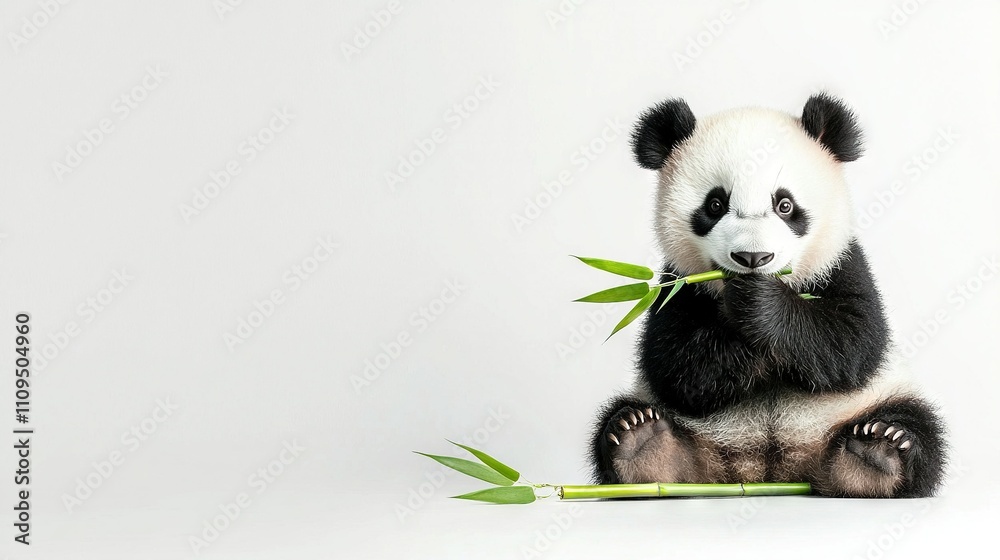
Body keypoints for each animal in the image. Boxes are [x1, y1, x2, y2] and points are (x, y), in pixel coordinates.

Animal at [590, 94, 945, 498]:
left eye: (785, 205)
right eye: (715, 205)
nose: (752, 258)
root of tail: (772, 468)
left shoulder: (842, 262)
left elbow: (853, 342)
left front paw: (761, 306)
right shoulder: (676, 283)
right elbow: (676, 364)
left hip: (867, 402)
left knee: (917, 427)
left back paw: (878, 452)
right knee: (622, 419)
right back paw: (642, 442)